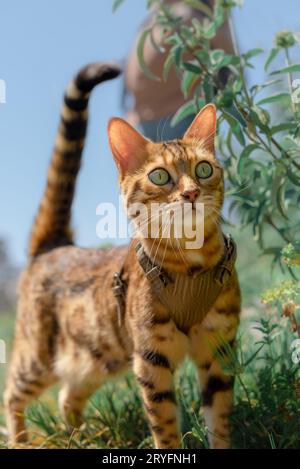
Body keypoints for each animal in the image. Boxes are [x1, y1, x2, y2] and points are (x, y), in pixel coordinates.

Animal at [4, 61, 241, 446]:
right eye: (159, 176)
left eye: (204, 169)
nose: (191, 193)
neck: (191, 267)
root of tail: (55, 245)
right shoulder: (150, 358)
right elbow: (165, 424)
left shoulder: (219, 347)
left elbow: (219, 418)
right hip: (37, 357)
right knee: (12, 394)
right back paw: (21, 440)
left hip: (97, 358)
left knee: (67, 396)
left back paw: (80, 439)